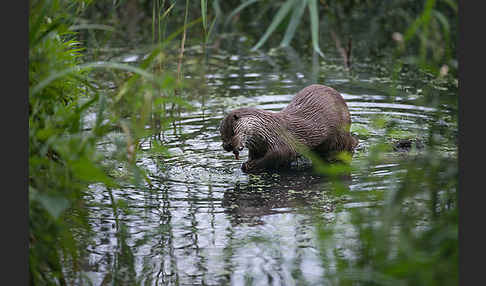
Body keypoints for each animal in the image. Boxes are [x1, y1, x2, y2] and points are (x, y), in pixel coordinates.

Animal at [219, 84, 356, 173]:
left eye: (232, 132)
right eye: (222, 135)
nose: (227, 146)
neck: (266, 130)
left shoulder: (281, 141)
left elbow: (279, 155)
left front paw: (252, 165)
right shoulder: (256, 147)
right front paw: (246, 163)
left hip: (338, 137)